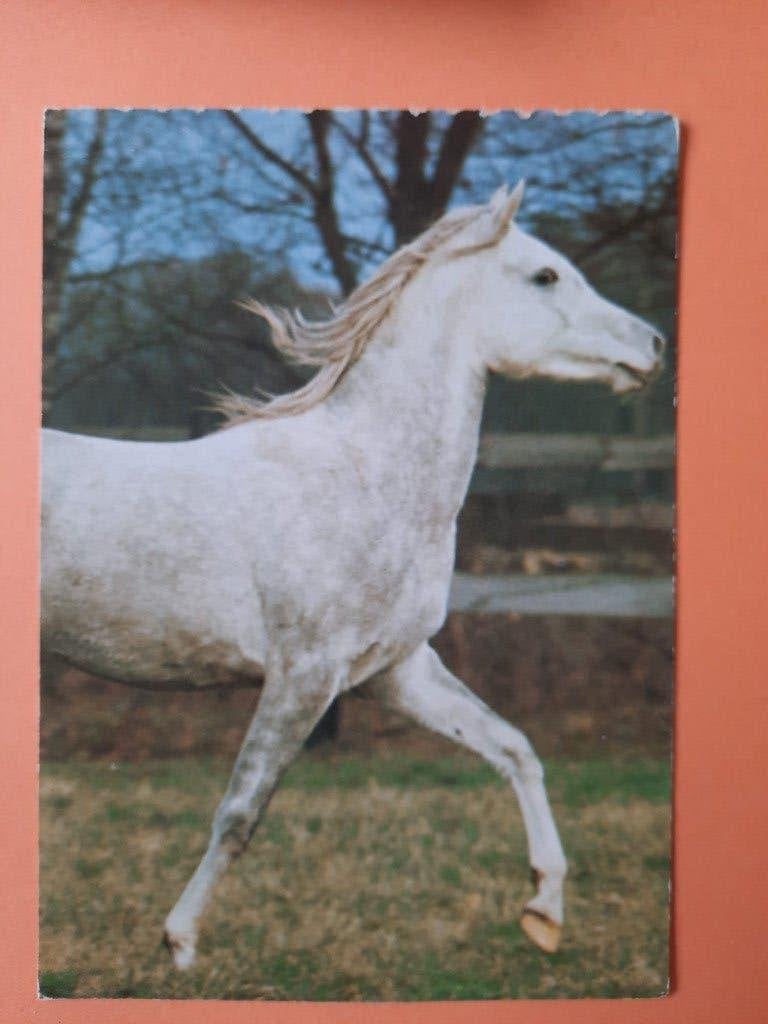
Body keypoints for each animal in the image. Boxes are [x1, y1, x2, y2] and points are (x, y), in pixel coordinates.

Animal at [40, 182, 665, 969]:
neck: (366, 474)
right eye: (545, 275)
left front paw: (543, 911)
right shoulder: (304, 674)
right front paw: (179, 946)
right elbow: (241, 812)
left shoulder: (394, 671)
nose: (654, 346)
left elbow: (514, 748)